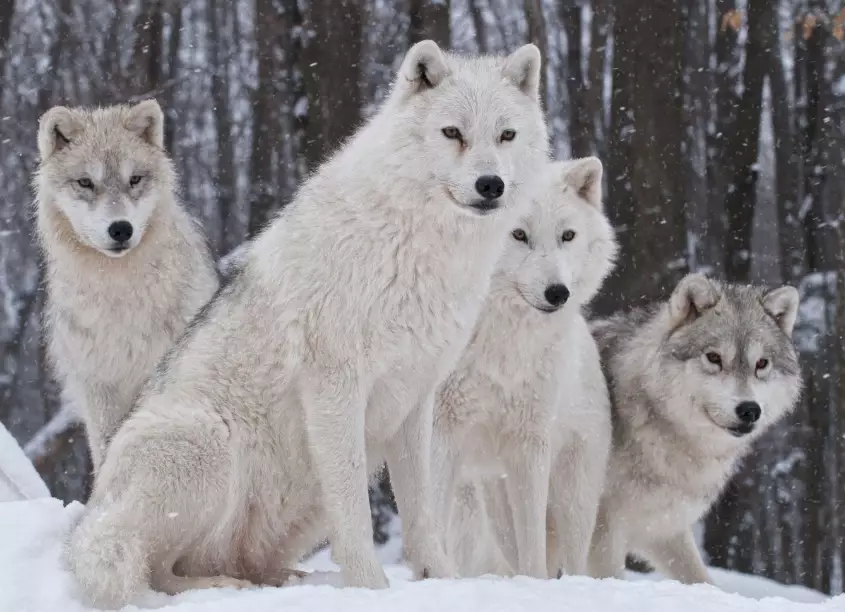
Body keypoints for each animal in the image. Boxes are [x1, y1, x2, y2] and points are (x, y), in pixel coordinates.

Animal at [67, 40, 549, 608]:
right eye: (453, 133)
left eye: (506, 135)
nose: (490, 184)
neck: (418, 246)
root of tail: (95, 510)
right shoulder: (335, 387)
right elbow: (355, 513)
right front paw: (371, 589)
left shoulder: (415, 397)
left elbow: (422, 514)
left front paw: (442, 581)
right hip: (206, 443)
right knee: (155, 570)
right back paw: (223, 586)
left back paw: (282, 579)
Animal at [433, 156, 617, 579]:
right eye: (517, 234)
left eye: (567, 235)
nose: (558, 293)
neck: (500, 340)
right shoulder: (439, 434)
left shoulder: (530, 444)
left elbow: (533, 548)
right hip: (488, 501)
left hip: (572, 498)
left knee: (570, 560)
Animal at [588, 273, 802, 584]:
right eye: (713, 358)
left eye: (761, 364)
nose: (749, 410)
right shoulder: (602, 529)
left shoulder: (663, 529)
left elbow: (701, 579)